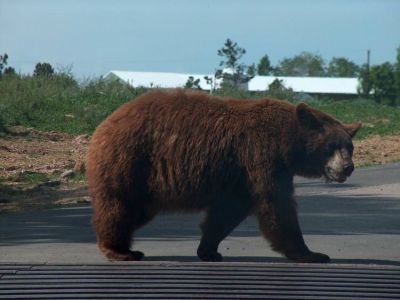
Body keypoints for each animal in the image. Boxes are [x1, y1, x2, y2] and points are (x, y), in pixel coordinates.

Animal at [86, 89, 360, 262]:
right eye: (331, 146)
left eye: (350, 146)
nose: (348, 167)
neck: (287, 143)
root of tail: (106, 122)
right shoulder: (262, 156)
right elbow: (276, 204)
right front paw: (311, 253)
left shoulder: (240, 175)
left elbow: (228, 212)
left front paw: (209, 250)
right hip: (132, 161)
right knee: (120, 208)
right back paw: (119, 250)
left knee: (134, 212)